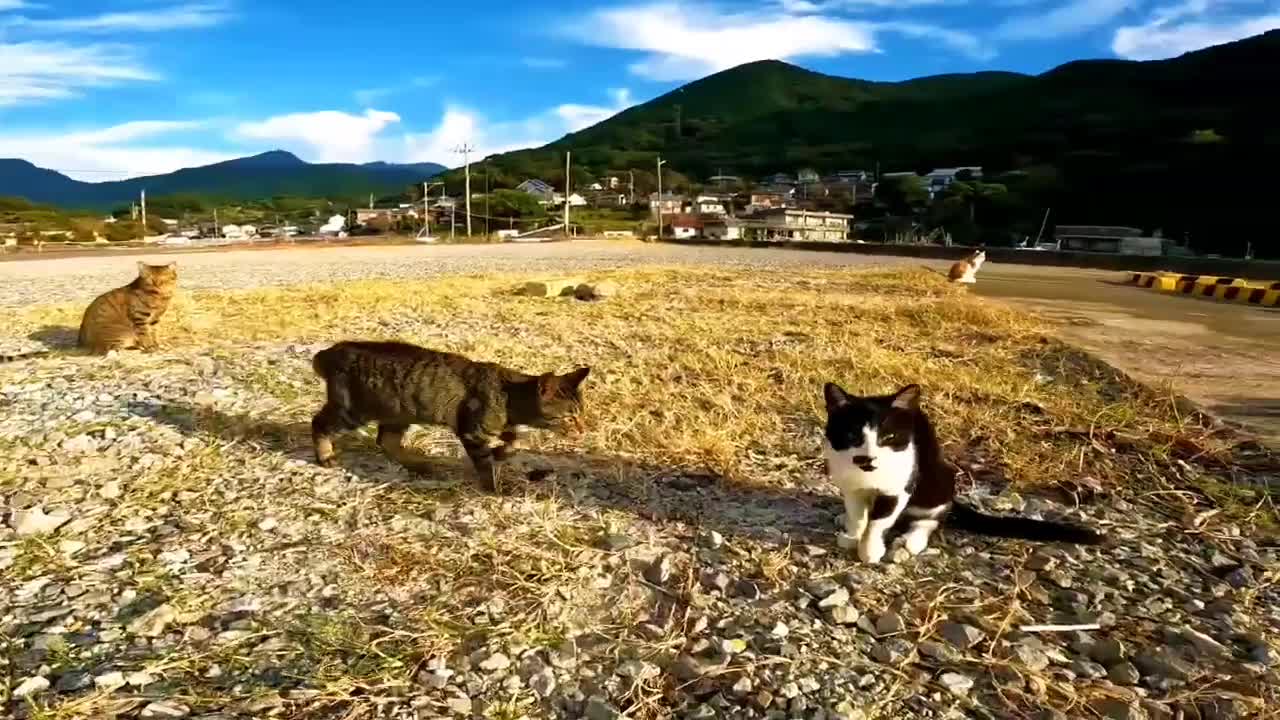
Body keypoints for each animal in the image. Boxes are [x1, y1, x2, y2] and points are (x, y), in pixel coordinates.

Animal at [309, 338, 588, 489]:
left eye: (581, 414)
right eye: (570, 417)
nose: (583, 430)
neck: (508, 396)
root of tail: (329, 352)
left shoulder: (501, 426)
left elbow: (515, 439)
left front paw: (502, 451)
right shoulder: (472, 431)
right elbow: (485, 464)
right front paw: (494, 488)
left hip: (399, 413)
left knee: (386, 441)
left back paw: (418, 464)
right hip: (352, 410)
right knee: (319, 423)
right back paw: (325, 456)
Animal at [824, 379, 1105, 563]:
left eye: (888, 437)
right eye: (851, 436)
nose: (867, 458)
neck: (866, 476)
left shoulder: (899, 486)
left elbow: (878, 522)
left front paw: (869, 550)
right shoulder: (851, 486)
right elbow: (858, 514)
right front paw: (853, 534)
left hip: (938, 480)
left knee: (932, 519)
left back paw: (912, 540)